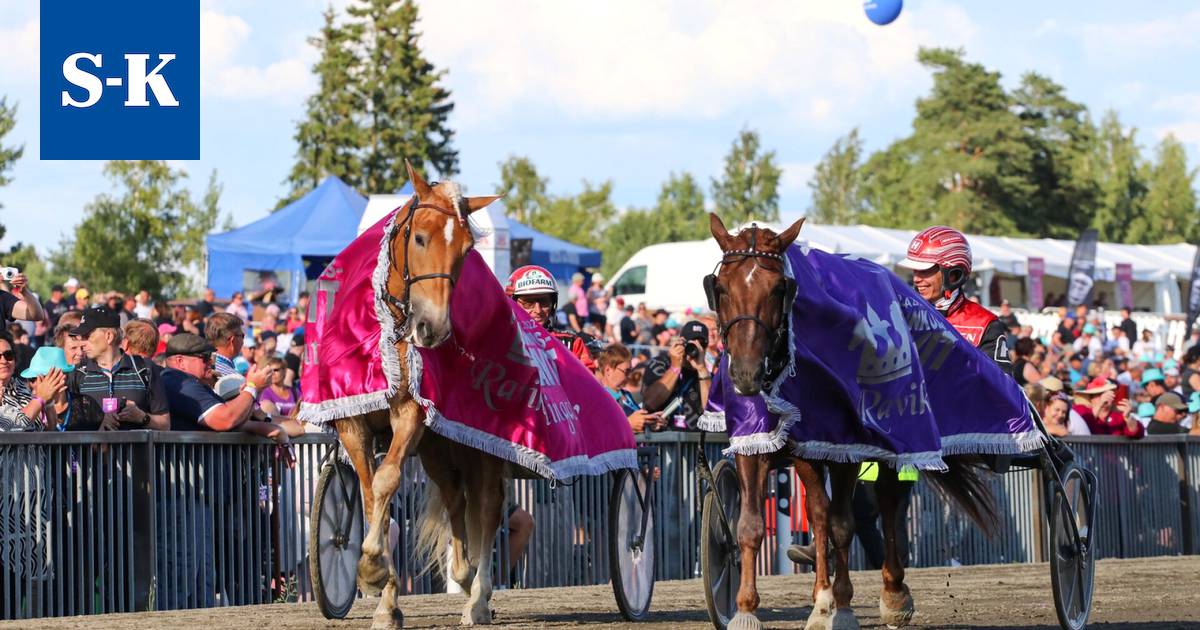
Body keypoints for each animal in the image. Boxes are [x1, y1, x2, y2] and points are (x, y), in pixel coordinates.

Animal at [333, 163, 506, 628]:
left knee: (487, 503)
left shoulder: (410, 413)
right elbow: (372, 494)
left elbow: (387, 479)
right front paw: (385, 596)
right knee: (455, 497)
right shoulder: (352, 422)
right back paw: (463, 574)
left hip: (477, 444)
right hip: (438, 451)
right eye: (420, 238)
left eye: (467, 249)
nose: (434, 327)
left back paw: (477, 596)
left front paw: (371, 566)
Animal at [700, 213, 993, 624]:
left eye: (778, 289)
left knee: (885, 501)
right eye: (721, 287)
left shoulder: (846, 445)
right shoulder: (757, 442)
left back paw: (891, 592)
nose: (745, 373)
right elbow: (751, 525)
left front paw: (842, 605)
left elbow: (844, 524)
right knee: (819, 511)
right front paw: (746, 610)